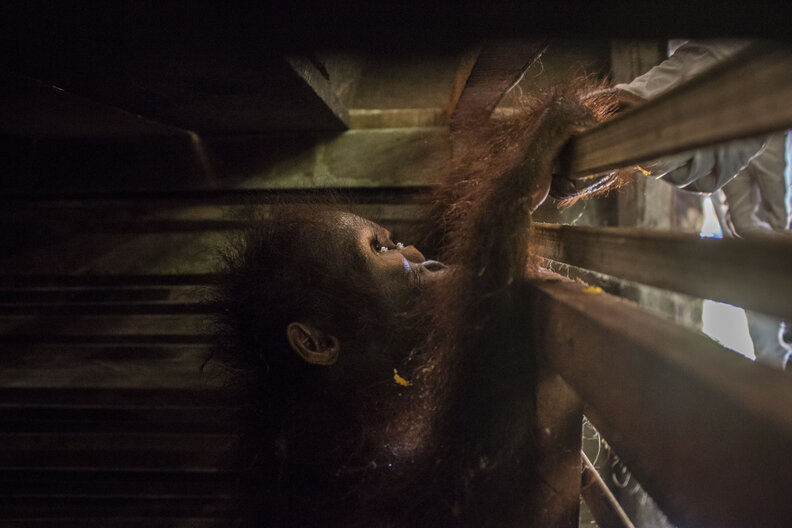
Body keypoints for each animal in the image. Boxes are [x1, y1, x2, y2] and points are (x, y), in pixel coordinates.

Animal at [214, 80, 621, 527]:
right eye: (380, 249)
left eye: (394, 242)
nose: (416, 253)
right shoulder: (347, 462)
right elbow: (478, 488)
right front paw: (538, 150)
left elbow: (447, 222)